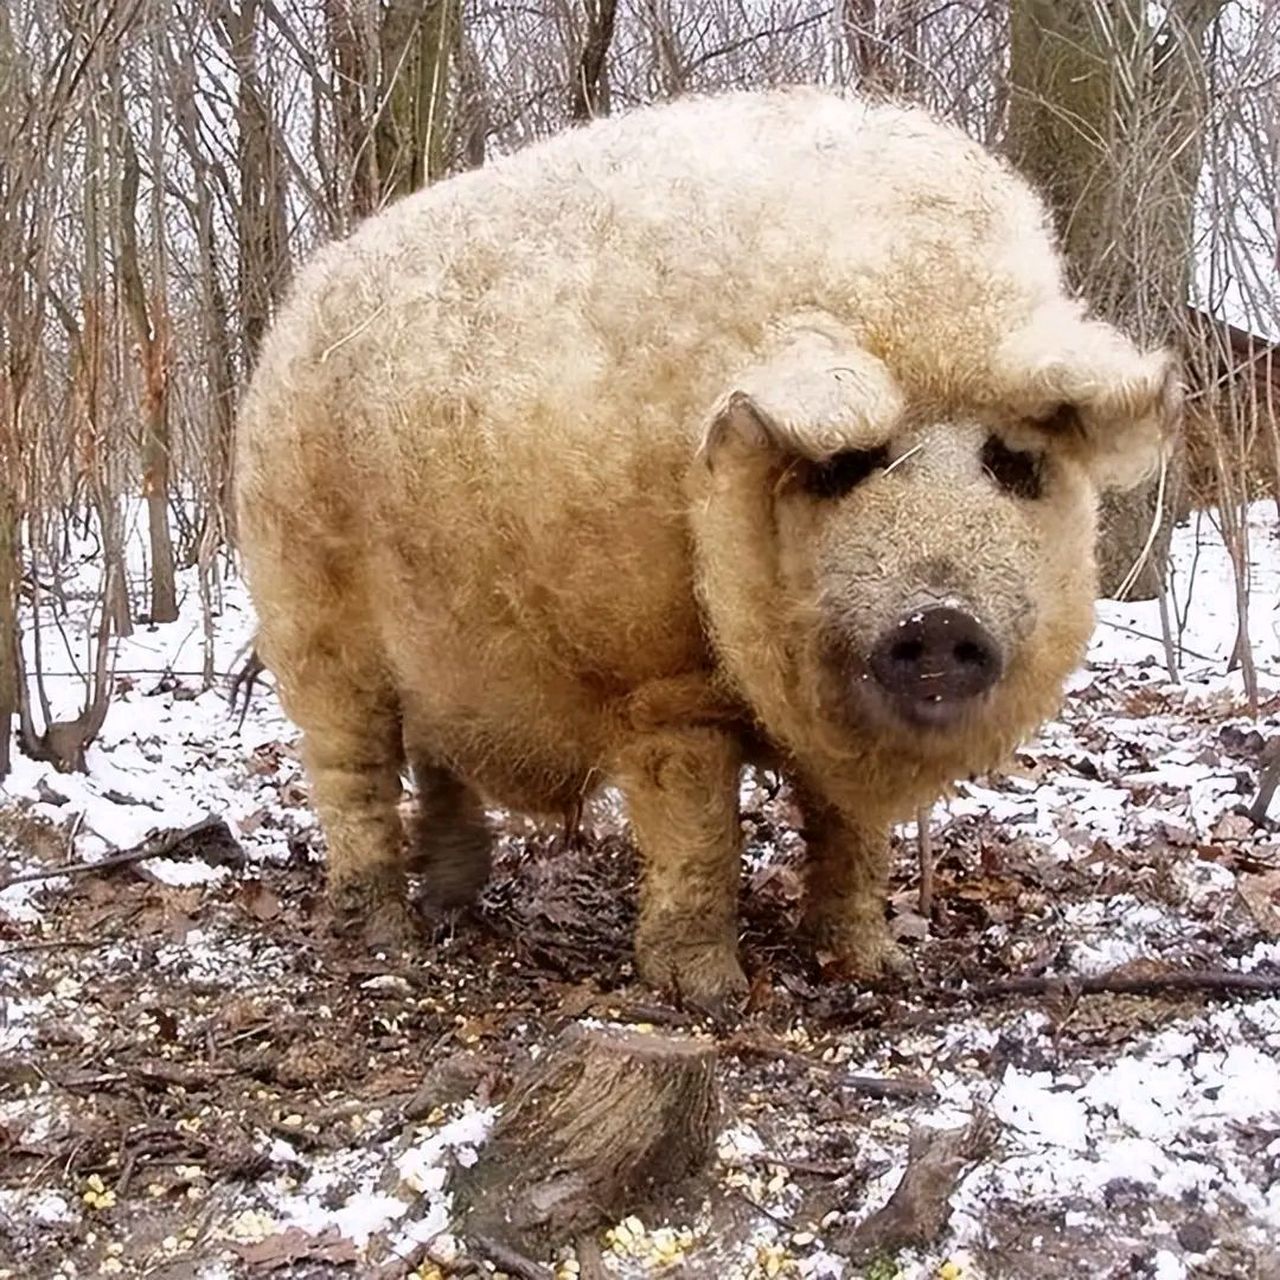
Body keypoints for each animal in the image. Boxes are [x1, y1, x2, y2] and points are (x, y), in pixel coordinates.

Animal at [235, 87, 1172, 1008]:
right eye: (844, 467)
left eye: (1013, 464)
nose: (939, 616)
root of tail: (293, 312)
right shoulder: (661, 677)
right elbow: (700, 828)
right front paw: (709, 995)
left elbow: (851, 833)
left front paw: (872, 968)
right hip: (309, 616)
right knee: (351, 772)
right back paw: (382, 937)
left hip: (436, 647)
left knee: (436, 763)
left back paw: (456, 906)